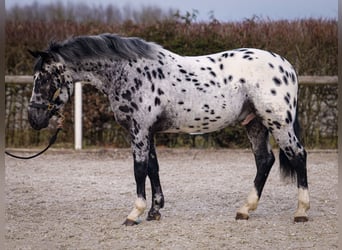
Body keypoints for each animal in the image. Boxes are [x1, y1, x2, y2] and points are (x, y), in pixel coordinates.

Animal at [26, 32, 310, 226]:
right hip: (255, 123)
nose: (33, 118)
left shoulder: (139, 130)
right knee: (264, 161)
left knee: (298, 156)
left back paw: (301, 212)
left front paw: (135, 213)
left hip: (278, 123)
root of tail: (287, 67)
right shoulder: (148, 131)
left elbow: (139, 169)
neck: (129, 71)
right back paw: (244, 210)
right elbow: (153, 168)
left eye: (45, 78)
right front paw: (154, 211)